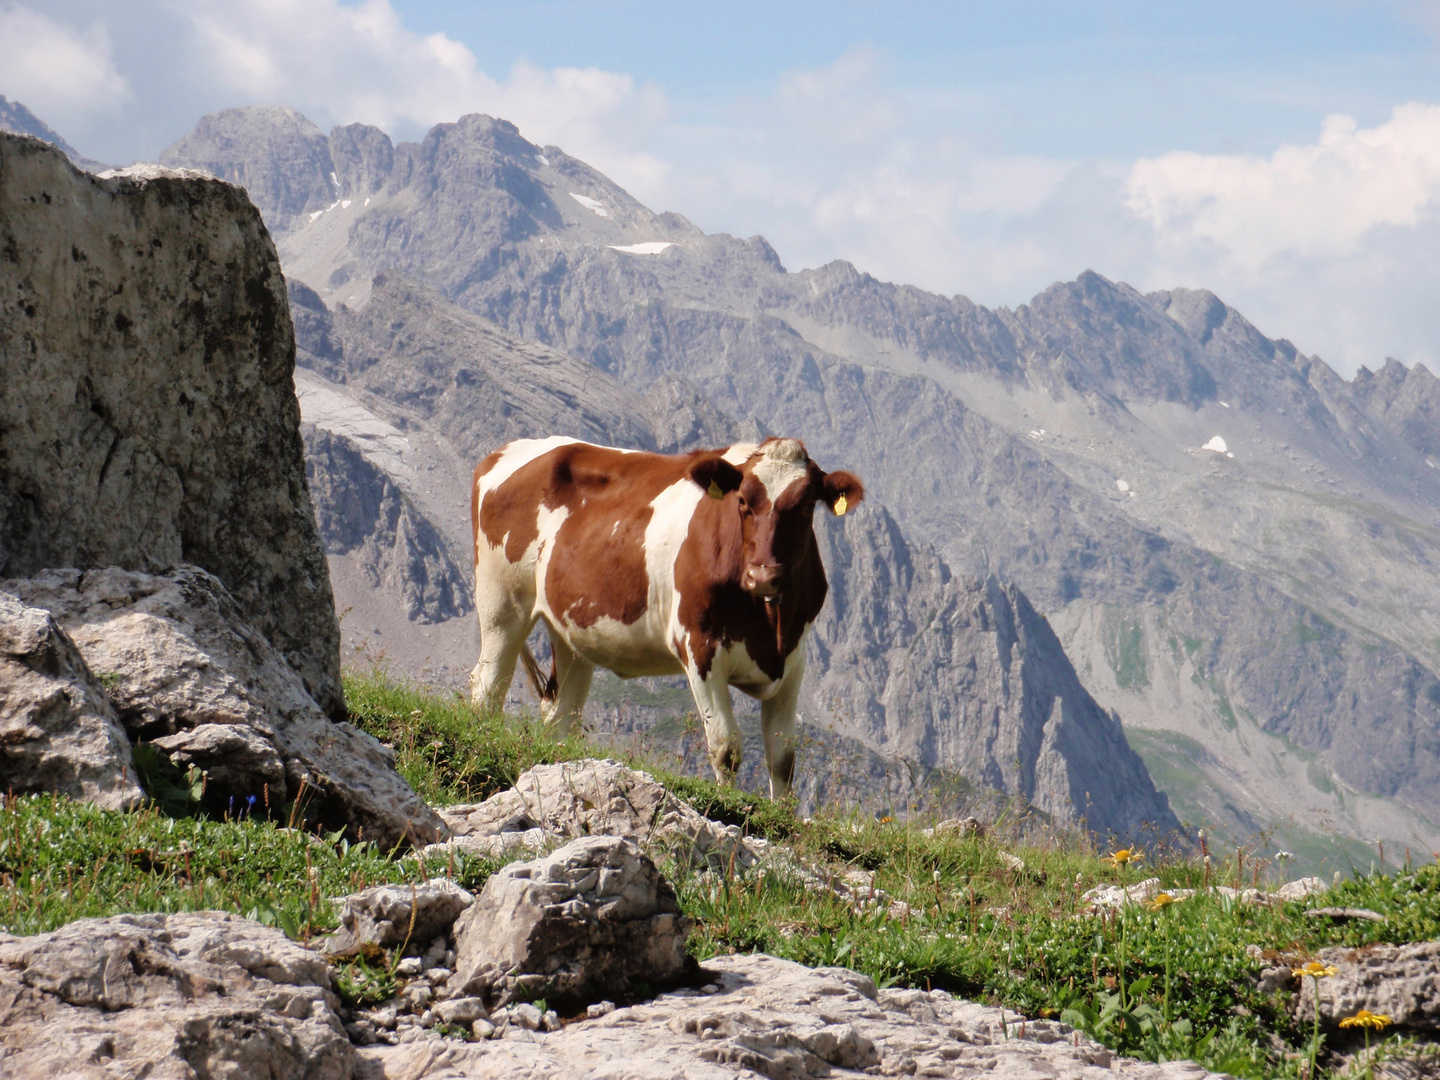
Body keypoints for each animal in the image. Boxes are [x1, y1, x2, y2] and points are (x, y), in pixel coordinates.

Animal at [466, 434, 858, 800]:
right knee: (487, 685)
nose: (762, 576)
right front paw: (731, 805)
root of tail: (508, 450)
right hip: (502, 602)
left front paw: (781, 813)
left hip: (572, 631)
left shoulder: (794, 659)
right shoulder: (699, 647)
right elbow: (726, 748)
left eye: (806, 505)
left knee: (561, 713)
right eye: (743, 501)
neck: (769, 624)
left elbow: (783, 759)